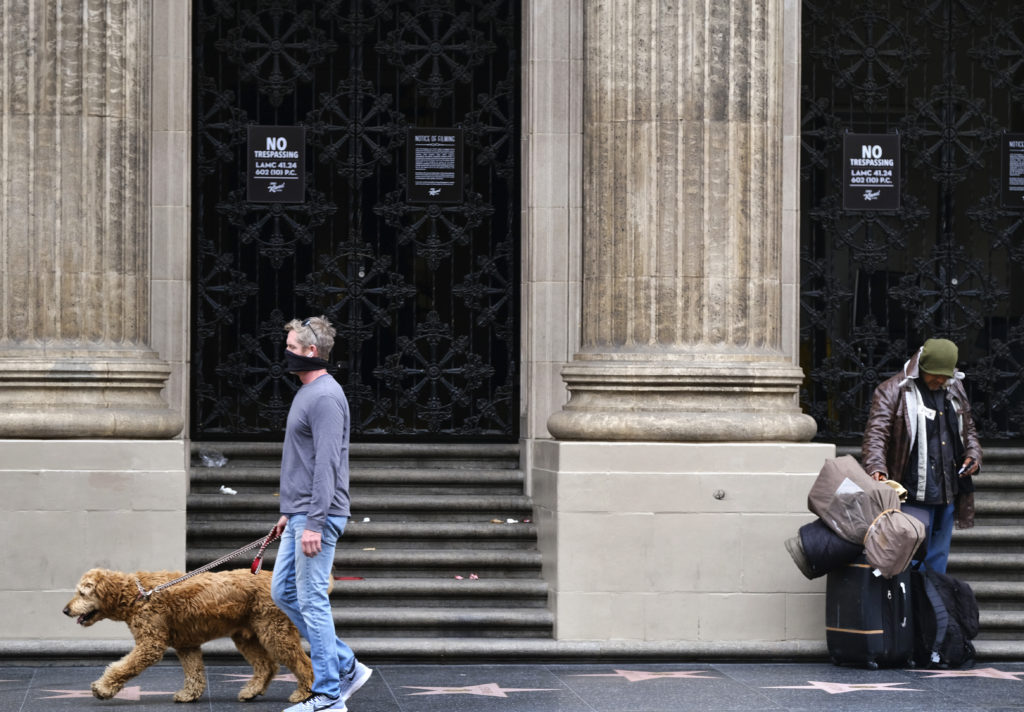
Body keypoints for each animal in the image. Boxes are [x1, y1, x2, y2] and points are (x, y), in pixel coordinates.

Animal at [64, 569, 311, 700]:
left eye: (82, 593)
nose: (65, 610)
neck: (137, 595)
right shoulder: (187, 644)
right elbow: (194, 672)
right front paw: (189, 695)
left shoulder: (151, 644)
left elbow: (123, 666)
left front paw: (103, 688)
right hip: (246, 637)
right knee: (266, 666)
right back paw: (252, 691)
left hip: (275, 632)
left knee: (303, 663)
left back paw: (304, 693)